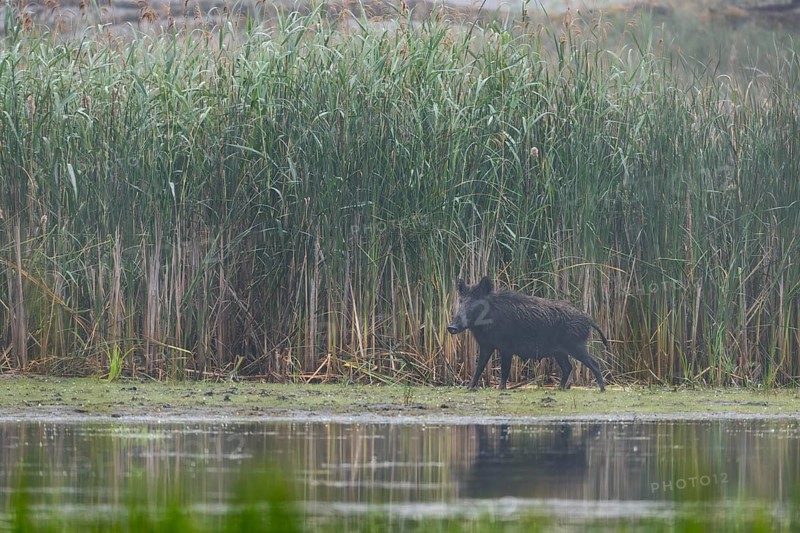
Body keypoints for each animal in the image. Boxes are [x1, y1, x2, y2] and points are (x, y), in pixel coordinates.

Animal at [447, 277, 608, 391]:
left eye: (476, 303)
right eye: (461, 302)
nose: (451, 327)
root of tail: (589, 319)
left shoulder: (506, 347)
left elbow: (504, 369)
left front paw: (500, 389)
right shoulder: (486, 345)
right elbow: (479, 367)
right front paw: (469, 388)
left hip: (576, 345)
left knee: (594, 363)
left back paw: (602, 389)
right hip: (559, 351)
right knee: (568, 367)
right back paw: (560, 389)